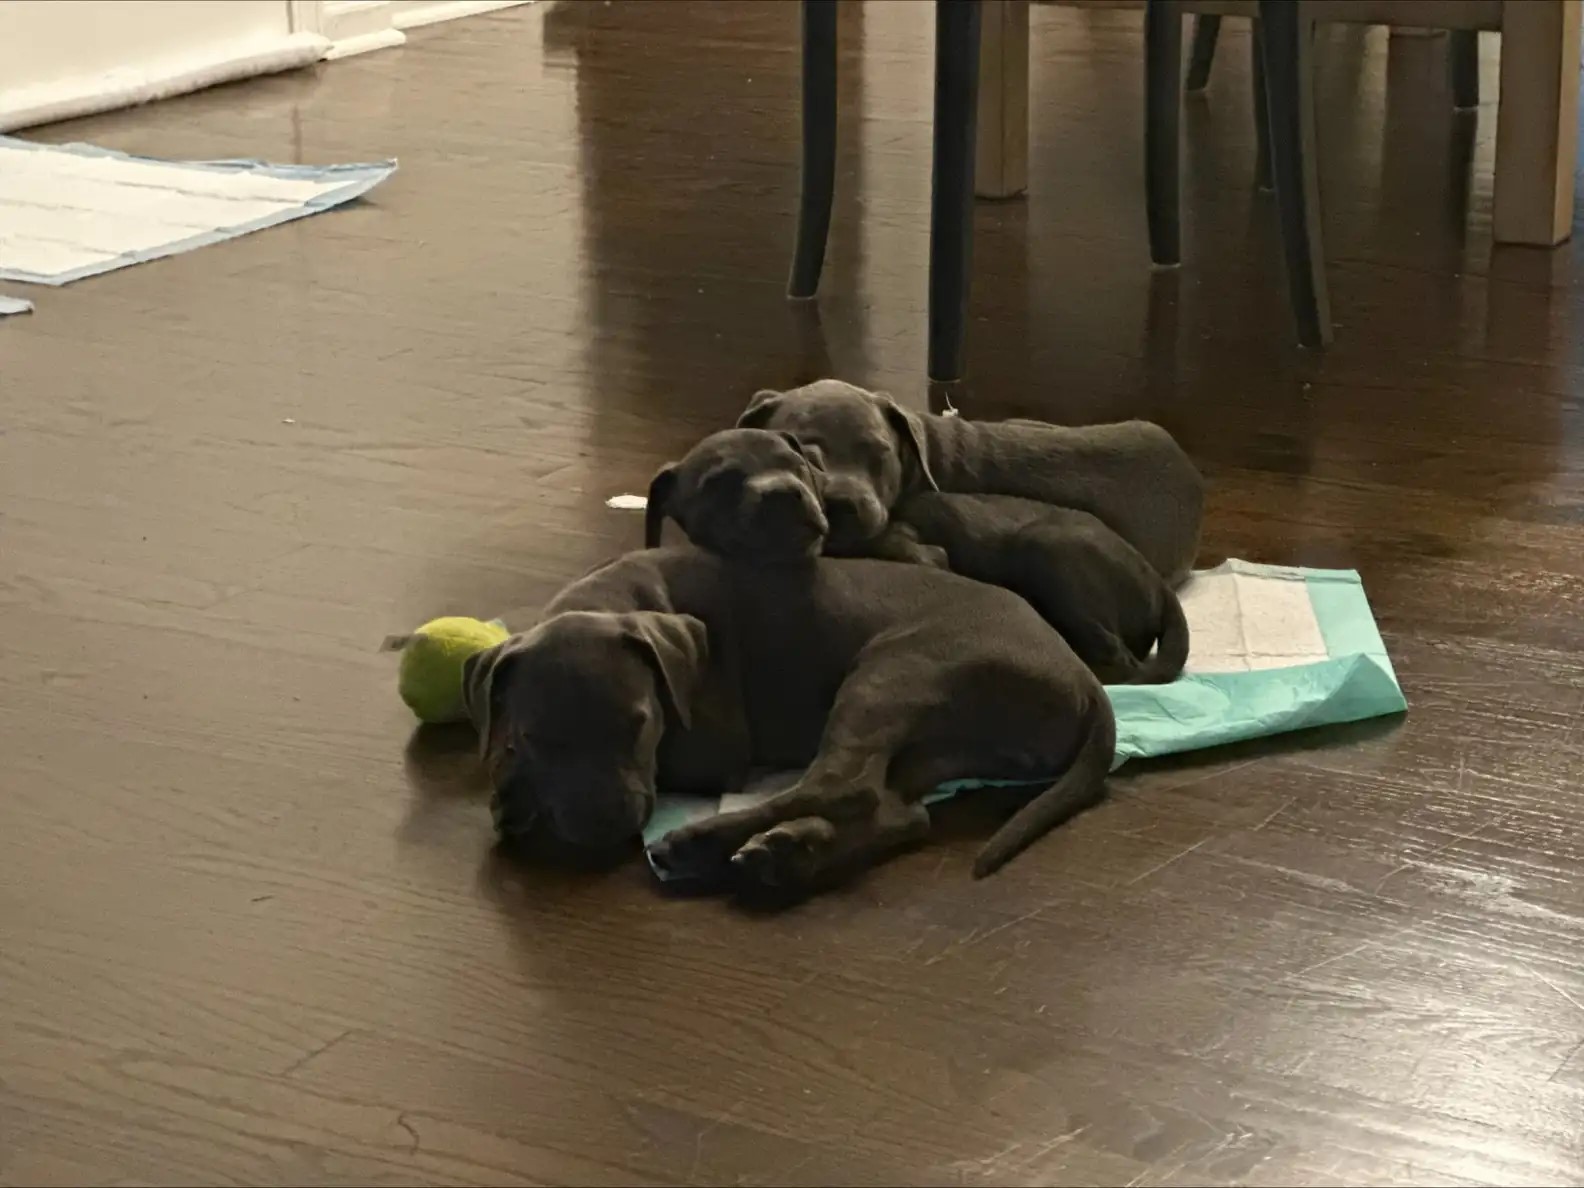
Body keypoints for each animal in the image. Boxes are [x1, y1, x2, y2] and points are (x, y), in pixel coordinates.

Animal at [462, 548, 1121, 893]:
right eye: (537, 738)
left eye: (639, 724)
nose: (605, 826)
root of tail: (1082, 674)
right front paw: (511, 782)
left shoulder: (709, 747)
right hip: (934, 741)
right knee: (895, 811)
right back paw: (788, 853)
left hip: (895, 672)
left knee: (838, 785)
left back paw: (701, 843)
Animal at [646, 427, 1191, 687]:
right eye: (718, 483)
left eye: (797, 463)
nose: (784, 494)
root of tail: (1156, 581)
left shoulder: (925, 556)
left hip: (1048, 547)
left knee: (1118, 661)